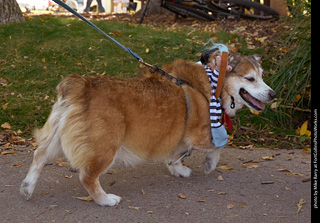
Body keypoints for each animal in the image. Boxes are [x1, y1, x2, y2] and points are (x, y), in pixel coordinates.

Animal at [20, 53, 276, 206]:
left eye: (262, 76)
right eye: (250, 78)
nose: (273, 94)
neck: (215, 82)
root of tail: (79, 85)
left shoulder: (179, 137)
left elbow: (176, 155)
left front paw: (177, 169)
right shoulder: (201, 133)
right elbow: (219, 146)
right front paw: (208, 165)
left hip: (56, 137)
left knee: (39, 155)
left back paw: (27, 187)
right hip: (105, 146)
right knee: (88, 176)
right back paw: (106, 200)